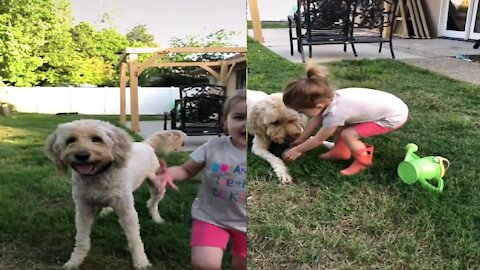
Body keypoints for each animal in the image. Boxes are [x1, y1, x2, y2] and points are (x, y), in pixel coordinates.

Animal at [44, 119, 186, 270]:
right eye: (71, 140)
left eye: (96, 139)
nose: (82, 155)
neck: (98, 175)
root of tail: (145, 144)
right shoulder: (84, 209)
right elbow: (81, 239)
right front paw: (75, 260)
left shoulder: (127, 212)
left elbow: (135, 240)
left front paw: (141, 262)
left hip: (157, 186)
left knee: (152, 203)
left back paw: (157, 219)